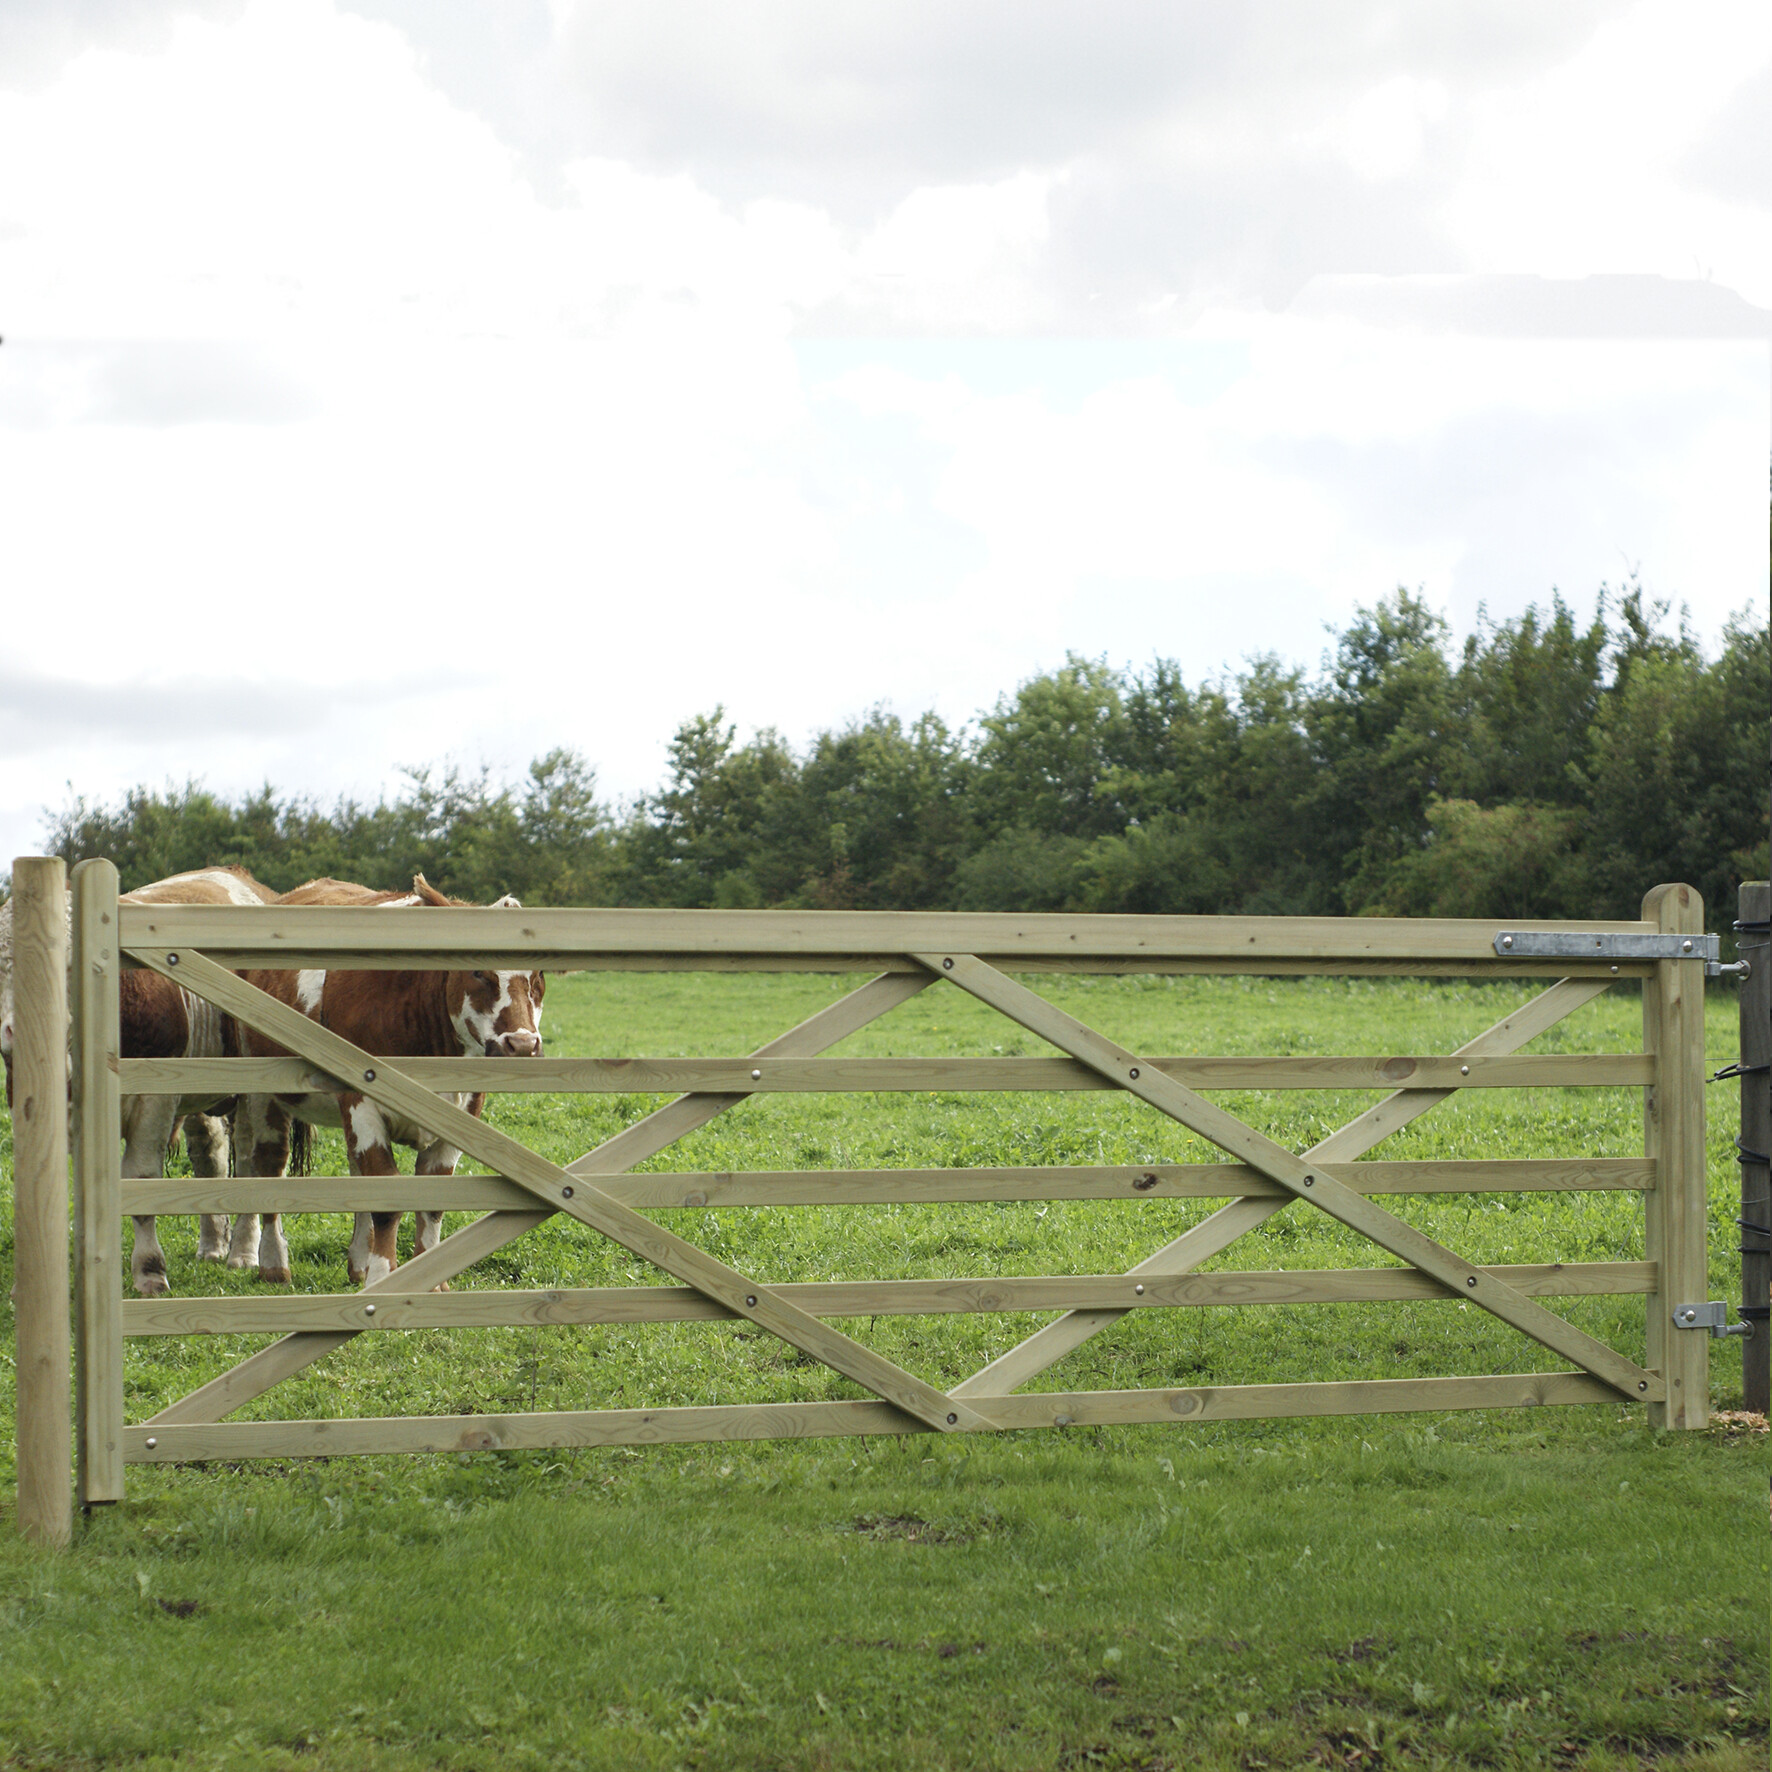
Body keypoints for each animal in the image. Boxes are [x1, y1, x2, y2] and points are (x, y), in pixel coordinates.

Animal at [0, 864, 279, 1297]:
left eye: (67, 964)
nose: (20, 1032)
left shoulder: (154, 1098)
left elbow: (142, 1179)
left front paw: (149, 1269)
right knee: (210, 1155)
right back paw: (212, 1245)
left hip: (254, 1087)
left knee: (252, 1161)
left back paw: (244, 1251)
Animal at [232, 875, 542, 1282]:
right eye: (477, 971)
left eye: (538, 977)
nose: (522, 1044)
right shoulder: (362, 1102)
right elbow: (386, 1195)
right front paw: (383, 1277)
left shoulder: (465, 1109)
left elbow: (431, 1201)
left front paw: (428, 1280)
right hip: (260, 1087)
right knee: (270, 1163)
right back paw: (273, 1263)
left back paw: (358, 1263)